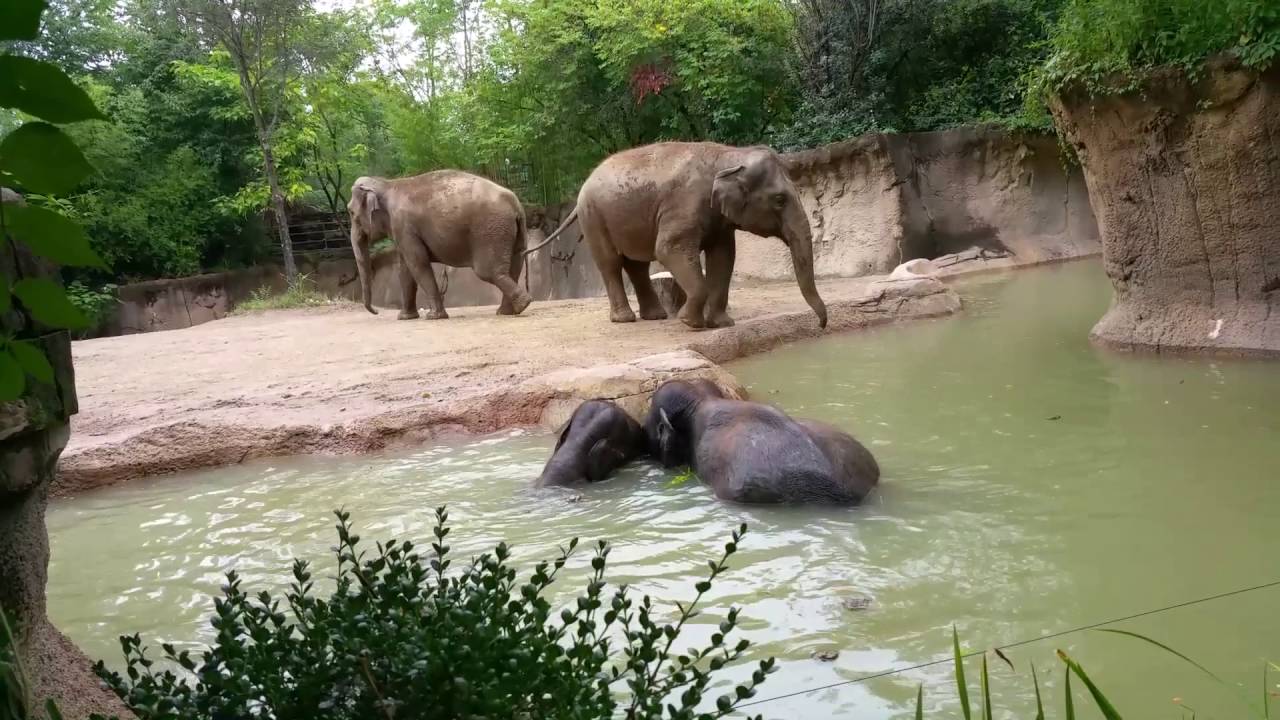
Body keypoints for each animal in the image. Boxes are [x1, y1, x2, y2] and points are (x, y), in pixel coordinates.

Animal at [348, 171, 533, 320]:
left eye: (350, 212)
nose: (376, 312)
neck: (386, 184)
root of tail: (515, 204)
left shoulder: (403, 225)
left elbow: (418, 264)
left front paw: (433, 316)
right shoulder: (402, 231)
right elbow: (405, 270)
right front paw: (405, 317)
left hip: (490, 230)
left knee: (488, 271)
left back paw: (522, 304)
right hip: (511, 231)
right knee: (514, 266)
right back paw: (508, 311)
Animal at [525, 142, 827, 330]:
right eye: (779, 200)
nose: (822, 325)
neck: (730, 155)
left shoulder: (719, 220)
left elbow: (724, 257)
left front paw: (721, 324)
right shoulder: (685, 204)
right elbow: (668, 249)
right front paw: (689, 323)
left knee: (637, 266)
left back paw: (655, 317)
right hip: (594, 217)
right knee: (611, 264)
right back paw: (625, 320)